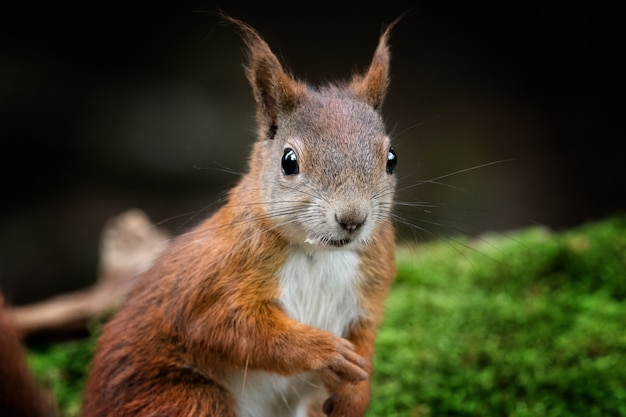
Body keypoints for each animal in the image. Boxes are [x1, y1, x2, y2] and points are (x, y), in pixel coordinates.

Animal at [80, 17, 398, 416]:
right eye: (289, 161)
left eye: (392, 159)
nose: (352, 219)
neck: (320, 253)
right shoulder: (215, 279)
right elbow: (230, 325)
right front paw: (326, 351)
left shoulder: (371, 286)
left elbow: (366, 335)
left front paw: (356, 392)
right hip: (186, 399)